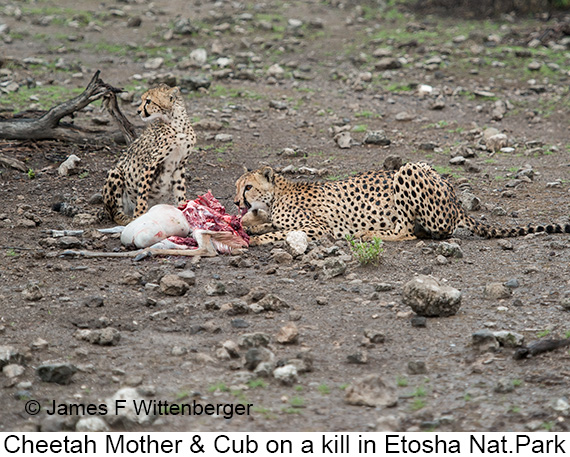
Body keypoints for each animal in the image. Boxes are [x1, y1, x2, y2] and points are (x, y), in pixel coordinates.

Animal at [103, 84, 196, 225]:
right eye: (143, 100)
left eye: (148, 101)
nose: (138, 111)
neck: (176, 123)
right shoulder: (151, 163)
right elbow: (142, 193)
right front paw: (139, 216)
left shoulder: (180, 164)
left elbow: (180, 190)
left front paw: (184, 208)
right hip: (116, 172)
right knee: (115, 213)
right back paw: (127, 218)